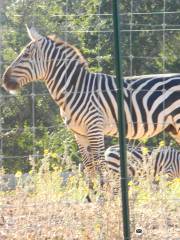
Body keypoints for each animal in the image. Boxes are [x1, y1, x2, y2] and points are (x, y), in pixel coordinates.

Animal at [2, 26, 180, 185]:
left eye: (26, 54)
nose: (4, 80)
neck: (76, 89)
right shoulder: (79, 134)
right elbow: (90, 169)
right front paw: (95, 196)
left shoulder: (95, 128)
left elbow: (102, 167)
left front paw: (108, 197)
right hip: (174, 128)